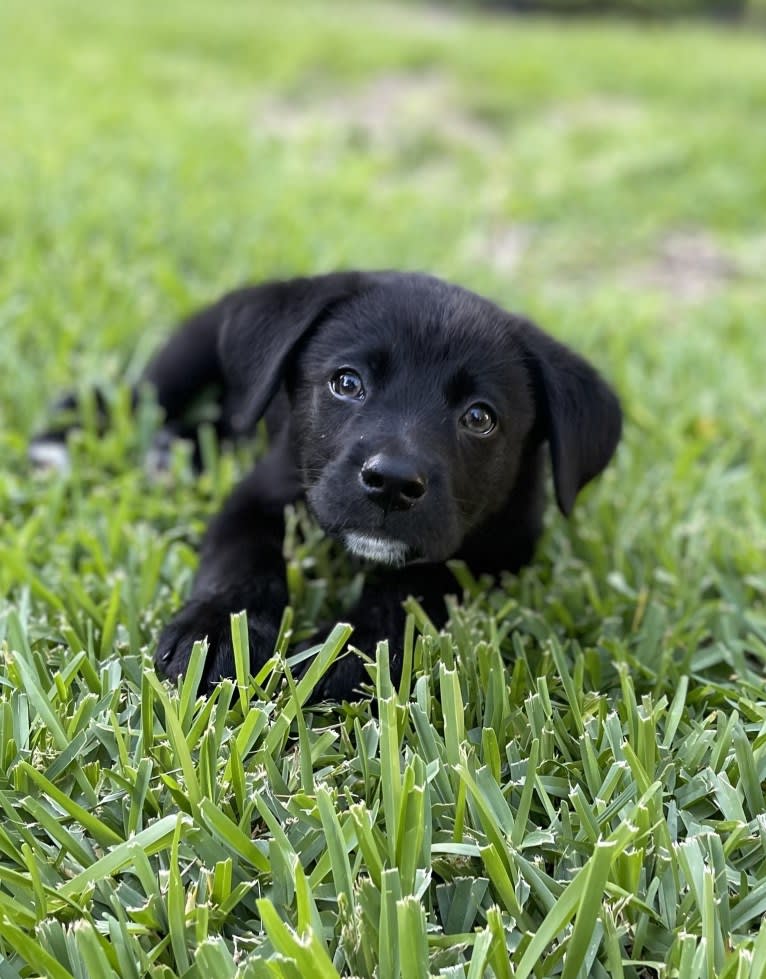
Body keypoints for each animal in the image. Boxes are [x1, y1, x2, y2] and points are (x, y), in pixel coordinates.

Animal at [34, 272, 624, 700]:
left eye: (480, 418)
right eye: (346, 382)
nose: (391, 483)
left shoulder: (496, 554)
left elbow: (410, 594)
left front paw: (336, 657)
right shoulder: (256, 498)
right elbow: (241, 562)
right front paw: (216, 631)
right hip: (192, 346)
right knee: (140, 393)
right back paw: (65, 437)